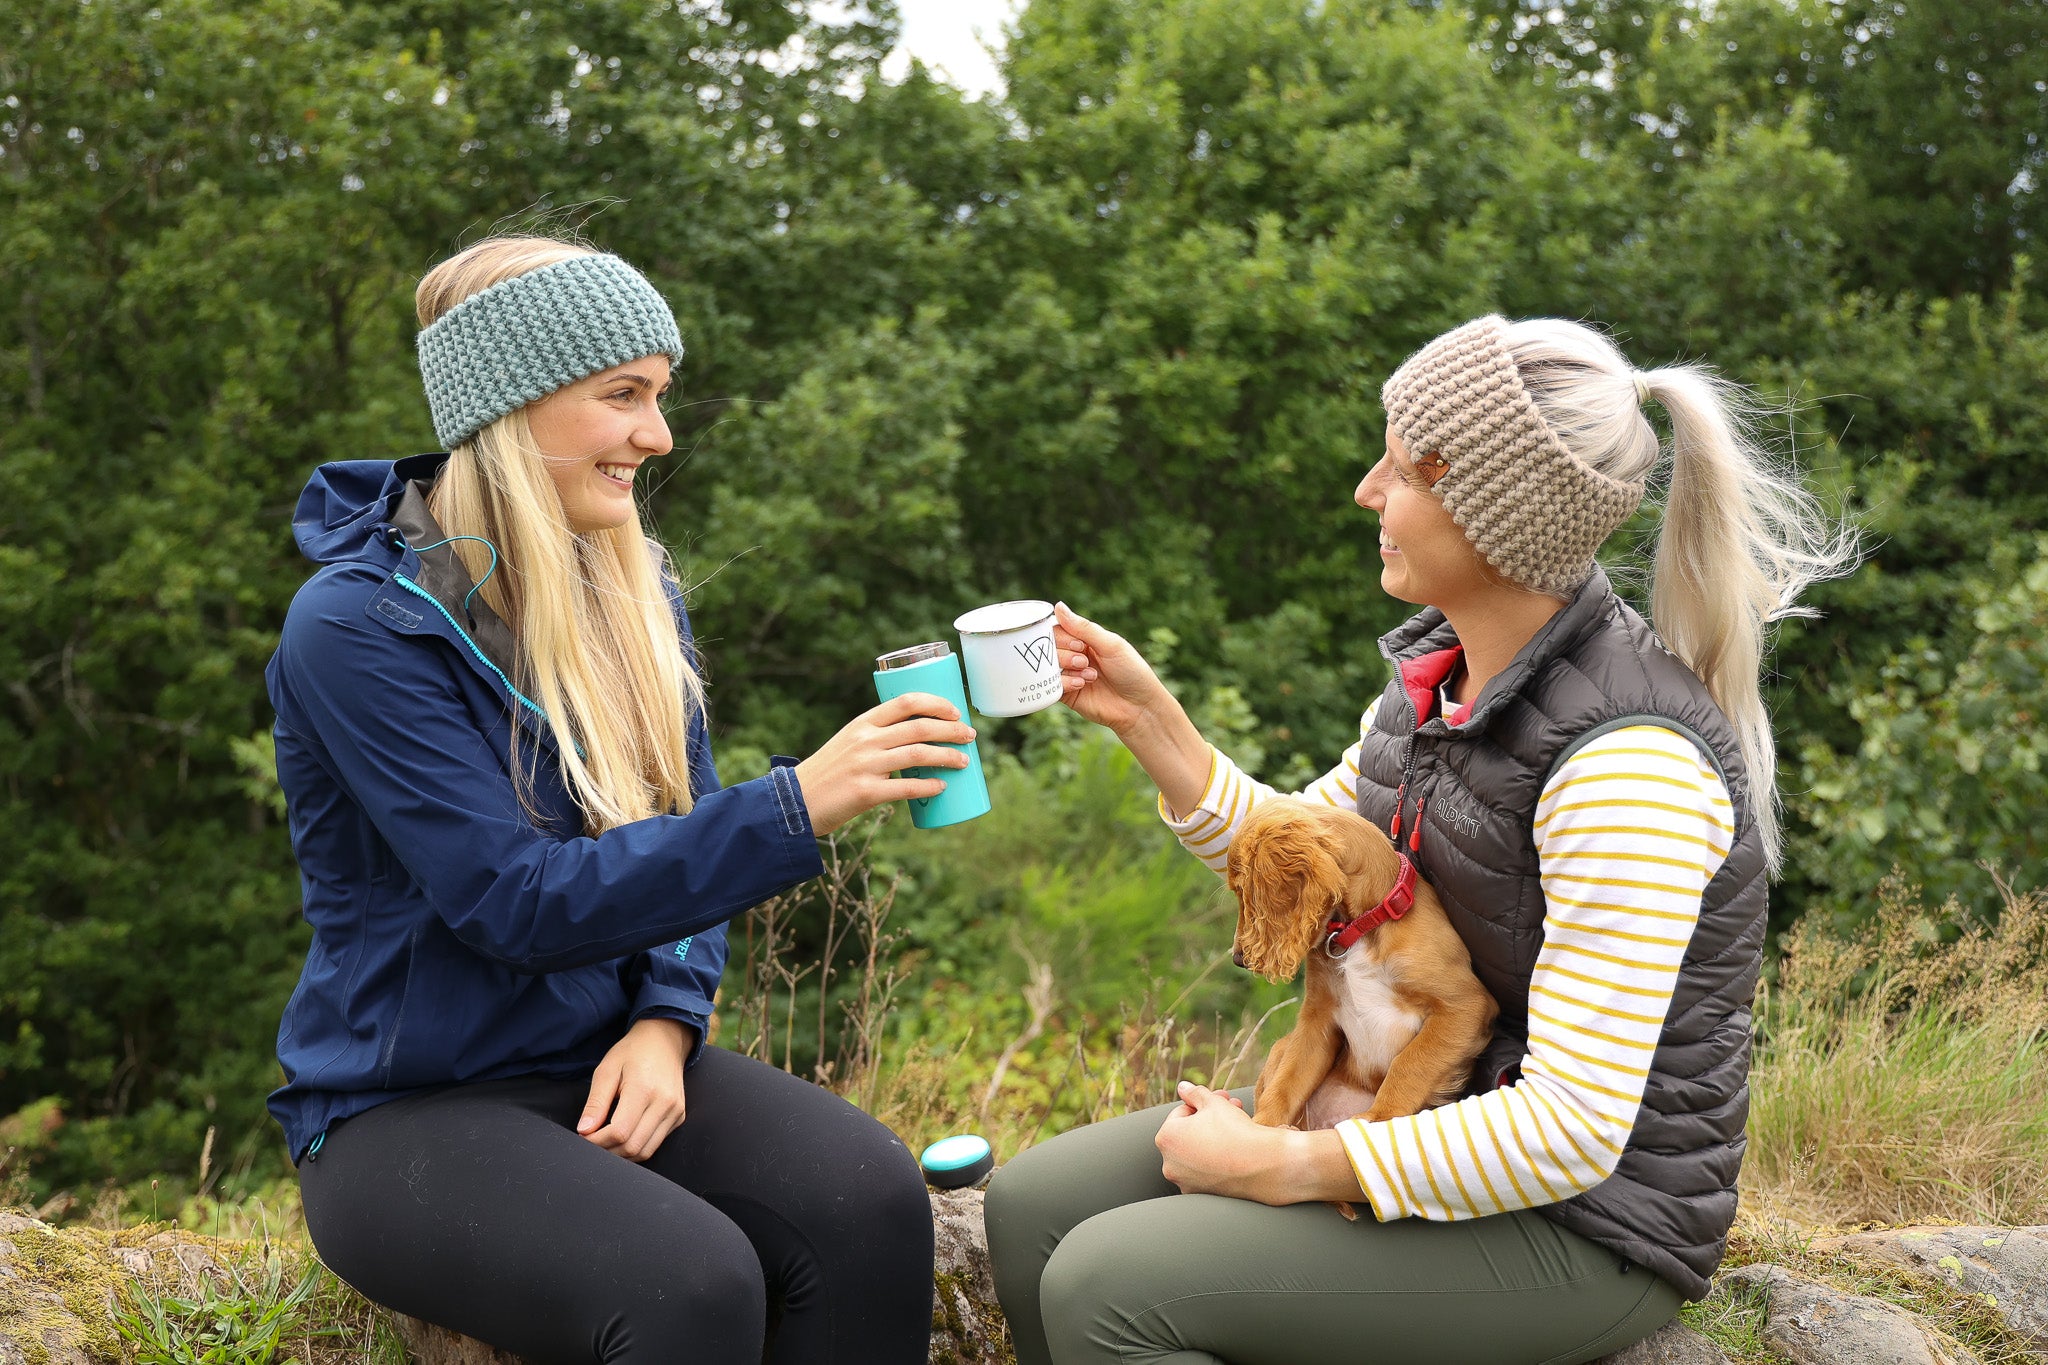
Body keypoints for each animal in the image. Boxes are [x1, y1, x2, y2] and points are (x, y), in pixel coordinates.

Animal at [1220, 794, 1499, 1146]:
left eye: (1245, 890)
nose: (1238, 959)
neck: (1361, 930)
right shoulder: (1318, 1017)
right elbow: (1286, 1082)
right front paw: (1260, 1130)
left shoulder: (1465, 1006)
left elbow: (1410, 1063)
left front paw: (1378, 1117)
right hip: (1282, 1046)